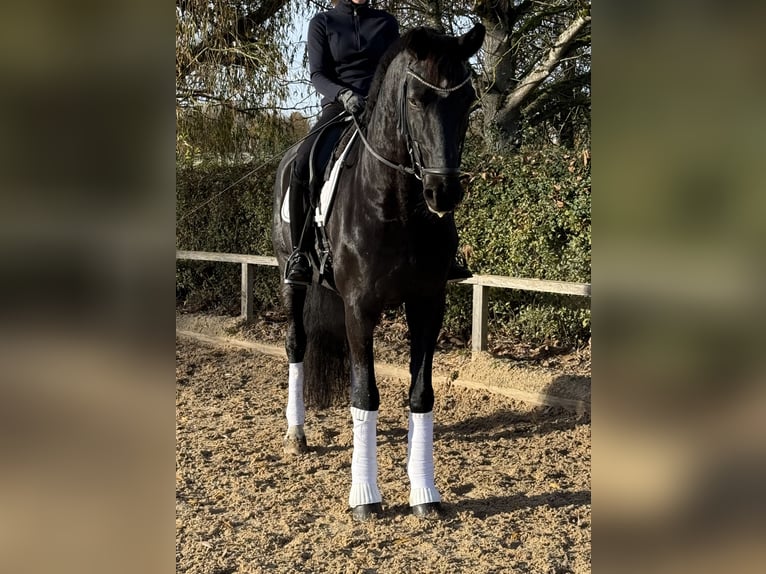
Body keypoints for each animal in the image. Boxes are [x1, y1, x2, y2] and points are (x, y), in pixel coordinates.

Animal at [272, 23, 486, 521]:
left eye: (467, 102)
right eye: (417, 100)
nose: (444, 192)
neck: (398, 205)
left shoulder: (427, 304)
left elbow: (420, 393)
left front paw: (423, 490)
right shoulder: (360, 308)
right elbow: (365, 395)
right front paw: (365, 497)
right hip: (291, 279)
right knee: (296, 345)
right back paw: (296, 433)